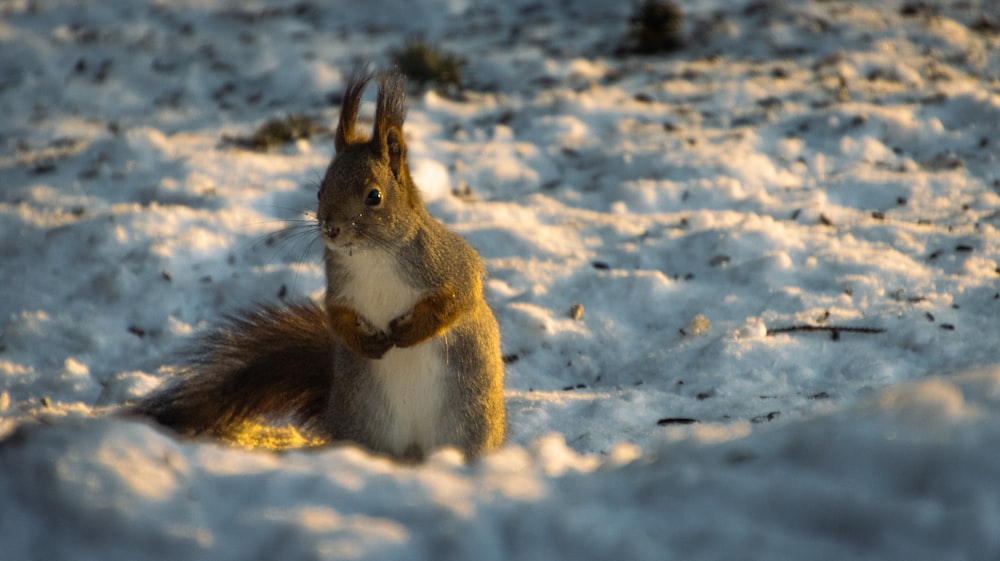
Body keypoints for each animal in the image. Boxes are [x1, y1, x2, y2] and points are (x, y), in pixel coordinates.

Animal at [135, 69, 508, 460]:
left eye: (374, 196)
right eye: (319, 191)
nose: (330, 228)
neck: (371, 254)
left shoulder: (448, 262)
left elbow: (459, 297)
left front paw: (412, 330)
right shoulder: (339, 286)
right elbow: (336, 315)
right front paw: (363, 342)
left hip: (468, 422)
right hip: (366, 421)